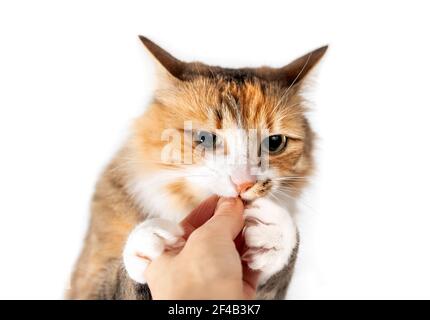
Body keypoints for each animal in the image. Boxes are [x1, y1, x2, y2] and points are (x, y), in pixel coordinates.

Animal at [69, 36, 328, 298]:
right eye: (205, 138)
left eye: (274, 142)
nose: (244, 183)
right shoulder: (85, 282)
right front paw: (148, 241)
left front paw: (276, 234)